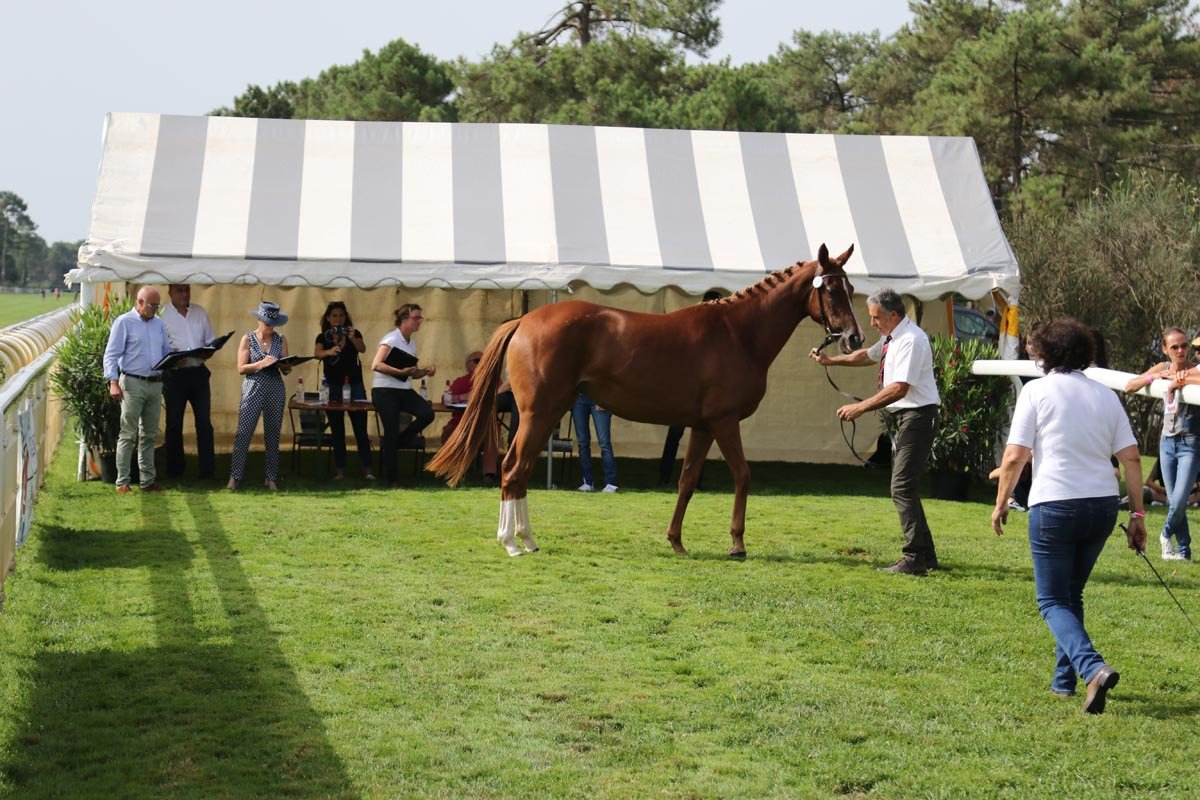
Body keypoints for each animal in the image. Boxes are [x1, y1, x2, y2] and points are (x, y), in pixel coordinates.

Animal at [432, 242, 864, 556]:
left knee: (517, 471)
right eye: (831, 290)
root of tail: (525, 320)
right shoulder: (725, 422)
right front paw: (737, 544)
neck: (737, 333)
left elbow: (686, 481)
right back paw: (512, 543)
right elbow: (743, 475)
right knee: (512, 469)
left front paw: (676, 541)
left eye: (851, 289)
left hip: (545, 414)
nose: (854, 338)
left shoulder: (702, 426)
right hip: (538, 414)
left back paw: (527, 540)